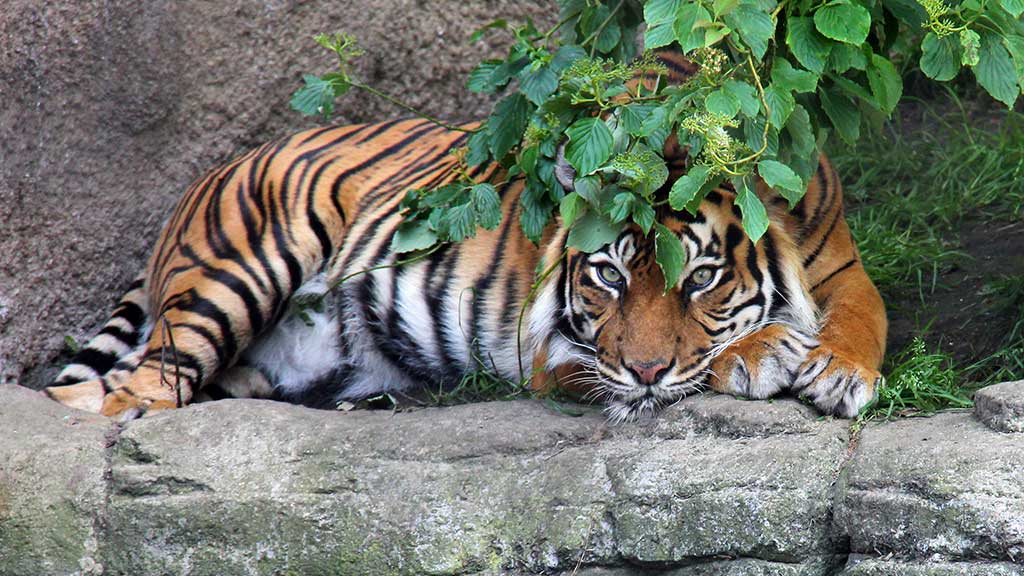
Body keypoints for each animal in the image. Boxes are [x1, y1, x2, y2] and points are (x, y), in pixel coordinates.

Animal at [44, 51, 887, 422]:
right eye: (608, 278)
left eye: (700, 279)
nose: (644, 371)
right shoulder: (557, 353)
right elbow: (673, 367)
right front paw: (761, 352)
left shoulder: (838, 260)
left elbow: (863, 314)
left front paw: (837, 371)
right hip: (240, 268)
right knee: (125, 391)